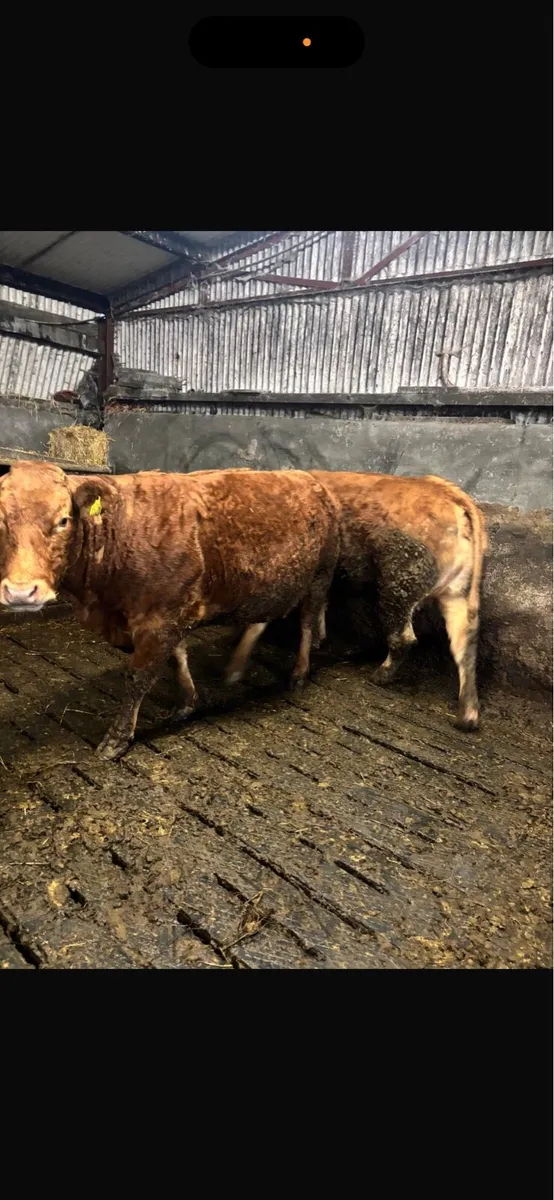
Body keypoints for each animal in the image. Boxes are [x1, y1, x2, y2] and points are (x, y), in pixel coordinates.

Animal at [0, 462, 339, 760]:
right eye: (1, 520)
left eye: (63, 520)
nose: (21, 591)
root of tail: (310, 479)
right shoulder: (170, 614)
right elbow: (178, 659)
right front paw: (186, 703)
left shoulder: (160, 620)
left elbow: (138, 677)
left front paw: (117, 740)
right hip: (264, 585)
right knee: (260, 621)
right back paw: (235, 667)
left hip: (319, 577)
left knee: (307, 623)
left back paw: (299, 673)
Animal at [229, 471, 488, 731]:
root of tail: (449, 493)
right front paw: (318, 639)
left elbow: (262, 621)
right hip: (458, 592)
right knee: (465, 644)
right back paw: (468, 717)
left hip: (398, 584)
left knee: (404, 637)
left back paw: (379, 676)